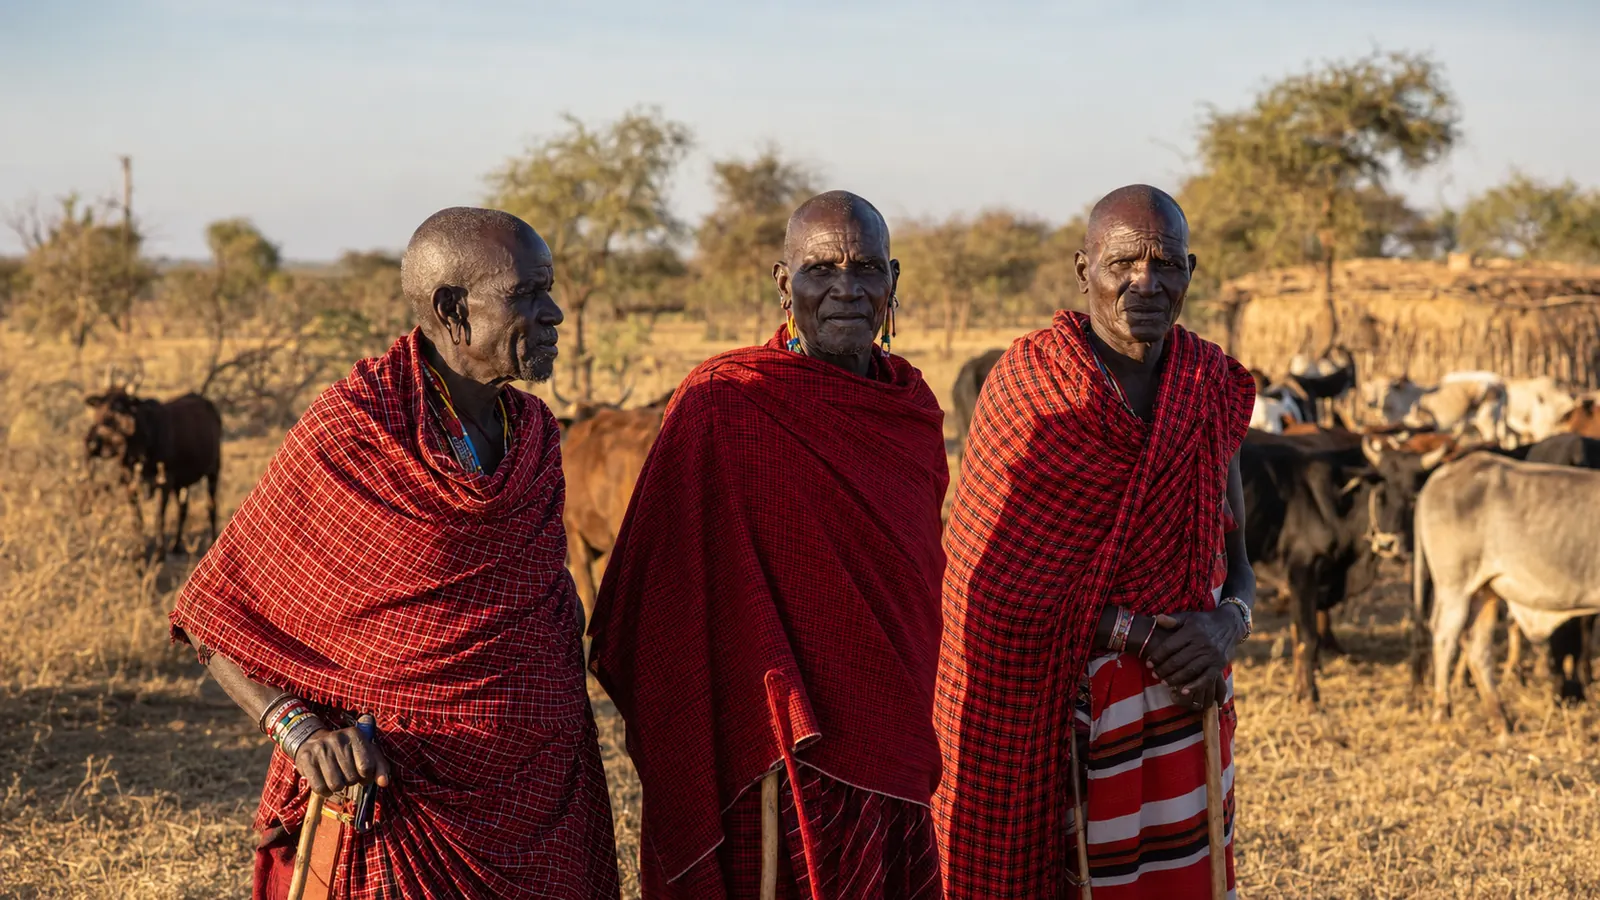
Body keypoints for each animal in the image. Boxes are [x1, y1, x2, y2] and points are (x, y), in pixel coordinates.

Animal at [84, 386, 222, 555]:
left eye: (117, 411)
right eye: (97, 411)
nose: (91, 443)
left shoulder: (165, 481)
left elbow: (159, 518)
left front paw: (159, 553)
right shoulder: (129, 481)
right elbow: (137, 518)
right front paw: (140, 549)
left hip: (214, 469)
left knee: (211, 506)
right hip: (182, 483)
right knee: (182, 509)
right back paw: (175, 546)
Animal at [1411, 453, 1600, 735]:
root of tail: (1445, 472)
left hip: (1484, 591)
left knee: (1476, 644)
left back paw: (1501, 721)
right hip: (1455, 586)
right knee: (1445, 636)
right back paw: (1442, 713)